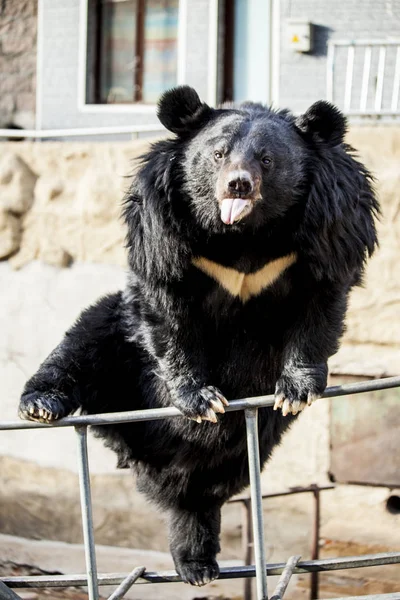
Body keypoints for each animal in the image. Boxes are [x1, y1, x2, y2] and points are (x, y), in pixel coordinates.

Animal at [19, 85, 378, 584]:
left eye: (267, 159)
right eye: (219, 153)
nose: (238, 185)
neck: (244, 237)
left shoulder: (331, 227)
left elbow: (321, 301)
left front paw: (295, 391)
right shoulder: (163, 228)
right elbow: (169, 309)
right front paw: (202, 399)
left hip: (247, 443)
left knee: (202, 495)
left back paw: (198, 563)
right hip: (116, 344)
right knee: (81, 344)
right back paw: (39, 404)